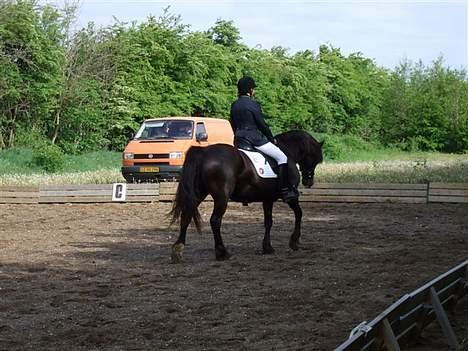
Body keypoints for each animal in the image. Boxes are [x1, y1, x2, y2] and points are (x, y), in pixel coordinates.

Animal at [170, 131, 324, 262]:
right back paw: (222, 253)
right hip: (221, 197)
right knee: (215, 220)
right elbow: (299, 214)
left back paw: (178, 251)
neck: (288, 152)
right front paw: (294, 242)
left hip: (199, 193)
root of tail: (204, 152)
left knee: (186, 215)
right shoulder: (290, 197)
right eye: (316, 159)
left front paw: (267, 247)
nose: (309, 182)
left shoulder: (267, 199)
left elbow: (268, 221)